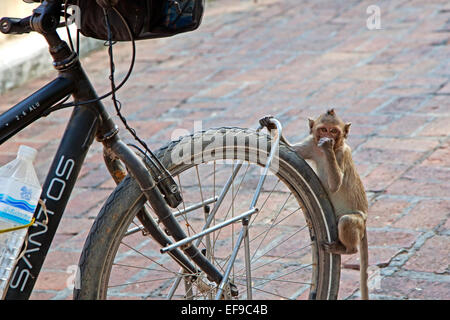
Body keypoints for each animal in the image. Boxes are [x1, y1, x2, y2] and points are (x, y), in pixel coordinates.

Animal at [260, 110, 370, 300]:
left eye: (334, 131)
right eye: (324, 129)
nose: (328, 137)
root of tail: (365, 221)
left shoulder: (341, 154)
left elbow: (335, 184)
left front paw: (327, 146)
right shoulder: (311, 144)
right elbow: (293, 149)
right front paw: (271, 125)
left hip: (357, 222)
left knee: (347, 221)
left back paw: (347, 249)